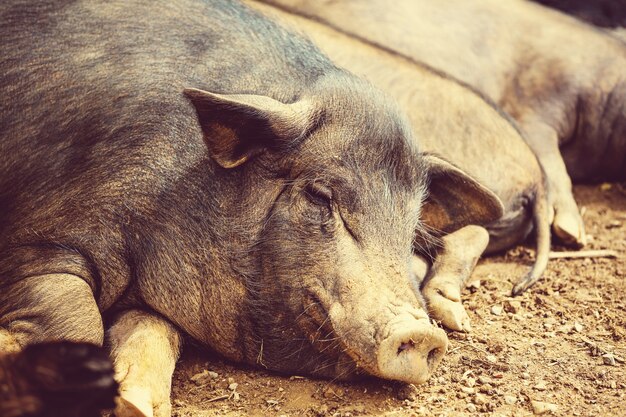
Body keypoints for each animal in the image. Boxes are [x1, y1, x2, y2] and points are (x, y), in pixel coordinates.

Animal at [0, 1, 502, 414]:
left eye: (411, 229)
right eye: (321, 196)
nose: (422, 333)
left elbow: (154, 328)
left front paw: (136, 405)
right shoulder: (37, 240)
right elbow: (79, 322)